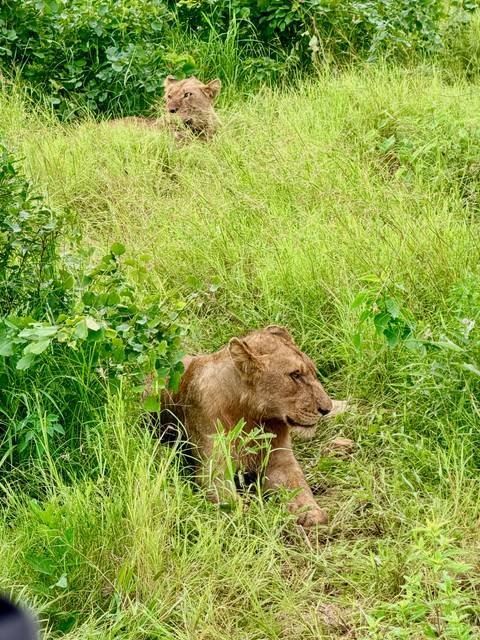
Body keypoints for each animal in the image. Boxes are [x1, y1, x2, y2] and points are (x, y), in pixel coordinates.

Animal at [156, 326, 347, 528]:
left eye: (313, 372)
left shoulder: (280, 460)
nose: (326, 409)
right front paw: (251, 518)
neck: (250, 414)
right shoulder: (212, 468)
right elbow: (229, 501)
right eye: (295, 375)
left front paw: (311, 512)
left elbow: (298, 484)